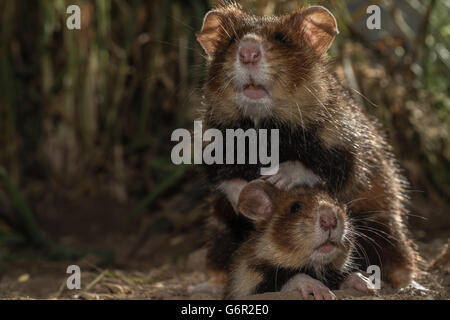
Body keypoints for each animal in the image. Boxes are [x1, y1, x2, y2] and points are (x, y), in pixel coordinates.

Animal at [197, 3, 418, 288]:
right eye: (232, 40)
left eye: (281, 39)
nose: (247, 52)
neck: (265, 126)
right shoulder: (214, 143)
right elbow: (224, 178)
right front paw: (245, 195)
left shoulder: (347, 145)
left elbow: (327, 166)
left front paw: (278, 178)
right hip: (220, 233)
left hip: (384, 223)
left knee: (398, 259)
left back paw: (406, 281)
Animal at [223, 180, 374, 300]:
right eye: (295, 207)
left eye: (336, 202)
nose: (330, 220)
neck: (316, 268)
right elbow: (296, 278)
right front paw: (323, 293)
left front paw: (368, 284)